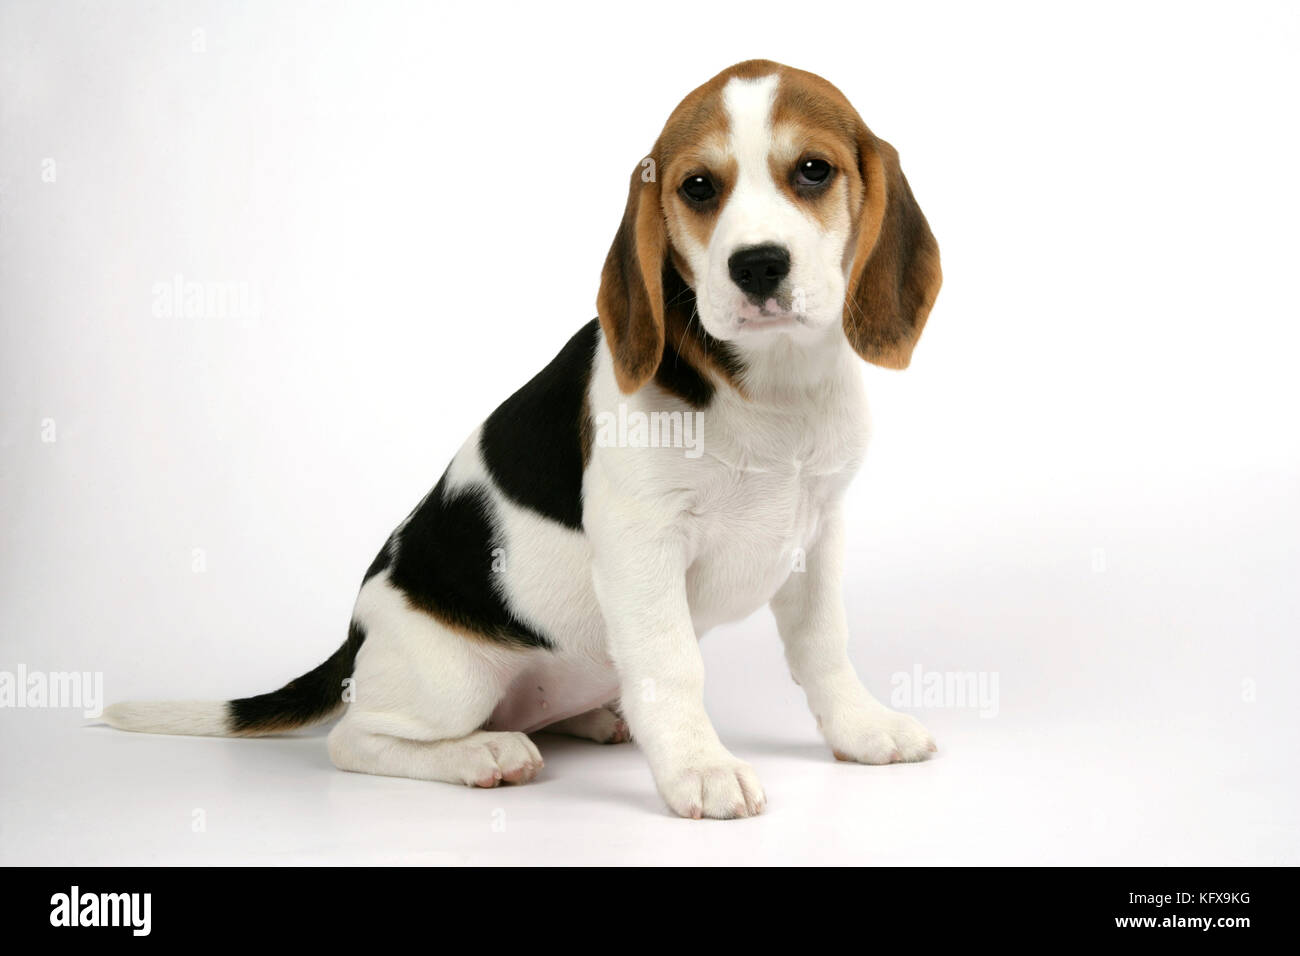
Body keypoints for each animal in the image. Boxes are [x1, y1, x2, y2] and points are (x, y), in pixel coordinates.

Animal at [98, 61, 935, 822]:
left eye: (813, 170)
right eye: (700, 187)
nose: (757, 265)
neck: (773, 386)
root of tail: (355, 635)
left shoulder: (817, 533)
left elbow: (824, 648)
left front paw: (862, 731)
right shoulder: (642, 543)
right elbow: (673, 667)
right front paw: (700, 769)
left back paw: (593, 716)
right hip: (447, 680)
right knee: (355, 741)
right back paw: (483, 754)